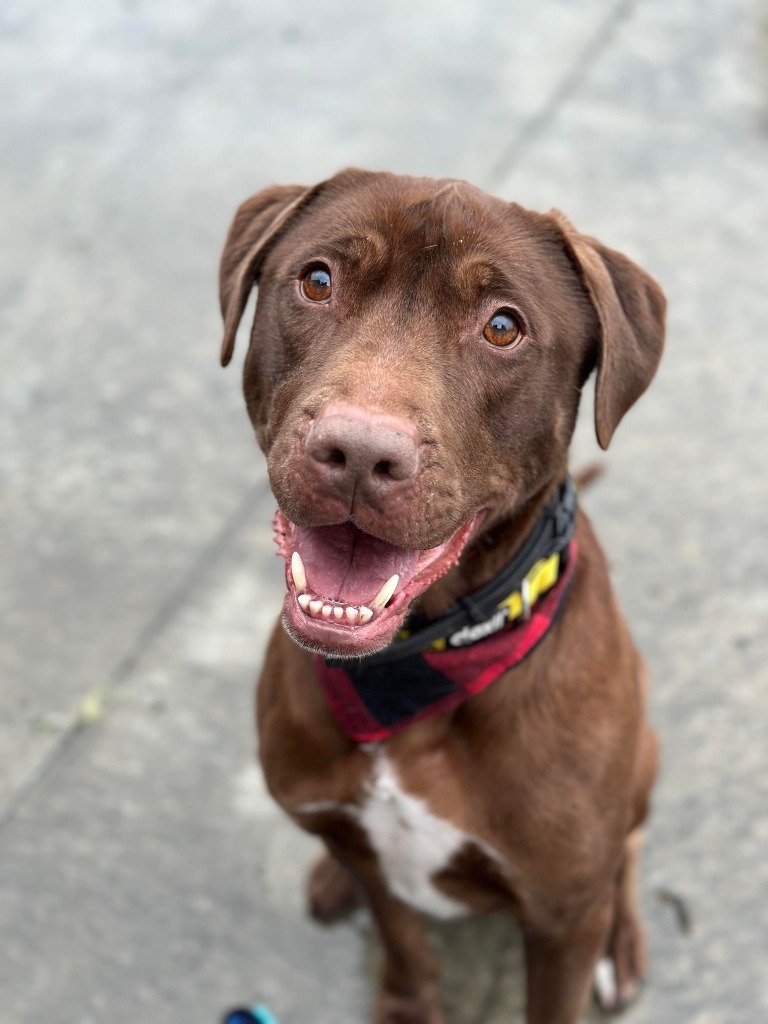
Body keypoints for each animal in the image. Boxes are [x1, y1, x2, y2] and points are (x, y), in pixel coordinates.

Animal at [218, 172, 667, 1019]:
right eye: (317, 281)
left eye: (503, 327)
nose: (359, 452)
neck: (419, 667)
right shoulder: (375, 858)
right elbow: (400, 939)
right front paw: (404, 995)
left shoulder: (560, 920)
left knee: (627, 846)